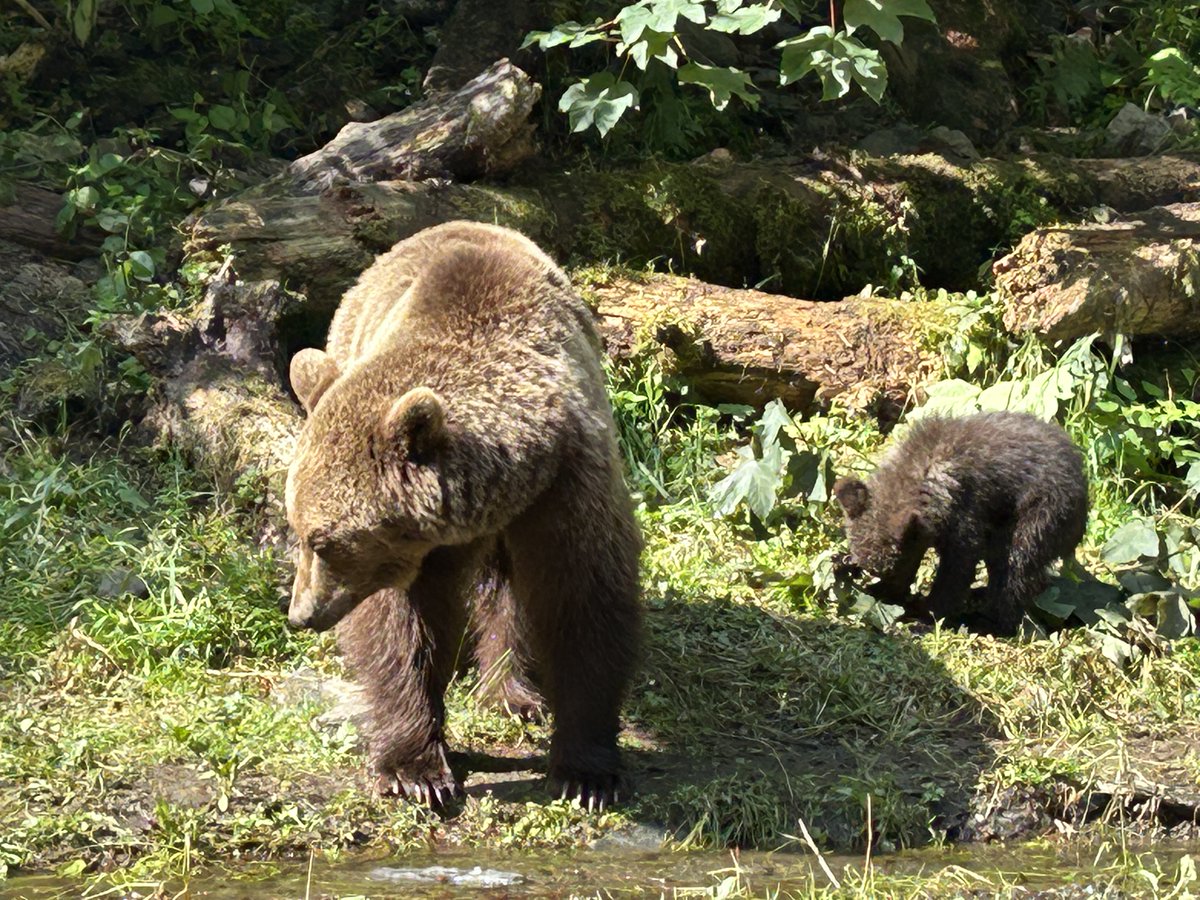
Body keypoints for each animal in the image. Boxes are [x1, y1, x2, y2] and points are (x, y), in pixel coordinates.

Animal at [284, 221, 643, 810]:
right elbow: (406, 630)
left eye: (322, 541)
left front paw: (587, 773)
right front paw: (415, 769)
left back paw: (512, 691)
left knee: (511, 590)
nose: (303, 614)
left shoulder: (567, 484)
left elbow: (582, 600)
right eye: (298, 531)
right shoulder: (414, 554)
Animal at [832, 411, 1088, 636]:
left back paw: (986, 622)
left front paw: (924, 617)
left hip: (1040, 516)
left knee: (1014, 569)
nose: (881, 593)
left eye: (892, 568)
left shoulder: (964, 520)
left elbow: (955, 574)